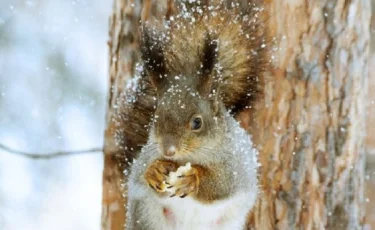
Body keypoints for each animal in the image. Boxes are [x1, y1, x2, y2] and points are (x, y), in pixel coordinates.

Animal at [125, 0, 268, 229]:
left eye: (197, 122)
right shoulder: (146, 155)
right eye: (156, 118)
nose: (168, 151)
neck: (189, 157)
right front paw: (154, 170)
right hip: (146, 216)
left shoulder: (236, 164)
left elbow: (222, 185)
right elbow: (139, 173)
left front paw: (193, 179)